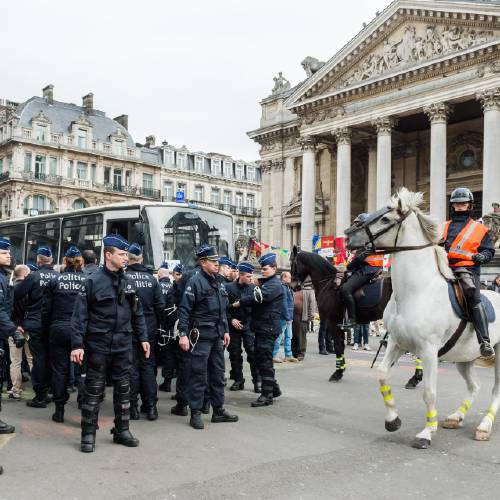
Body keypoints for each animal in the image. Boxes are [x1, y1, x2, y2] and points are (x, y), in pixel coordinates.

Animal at [290, 248, 394, 380]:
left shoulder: (333, 321)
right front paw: (340, 370)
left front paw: (337, 373)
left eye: (292, 262)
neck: (329, 285)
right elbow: (340, 345)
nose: (292, 286)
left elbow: (339, 345)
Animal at [346, 188, 500, 450]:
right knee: (474, 386)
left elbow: (429, 391)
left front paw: (427, 433)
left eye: (385, 219)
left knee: (495, 389)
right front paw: (393, 420)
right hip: (464, 357)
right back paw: (456, 416)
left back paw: (484, 426)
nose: (348, 235)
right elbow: (382, 374)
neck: (416, 291)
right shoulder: (396, 343)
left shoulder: (428, 350)